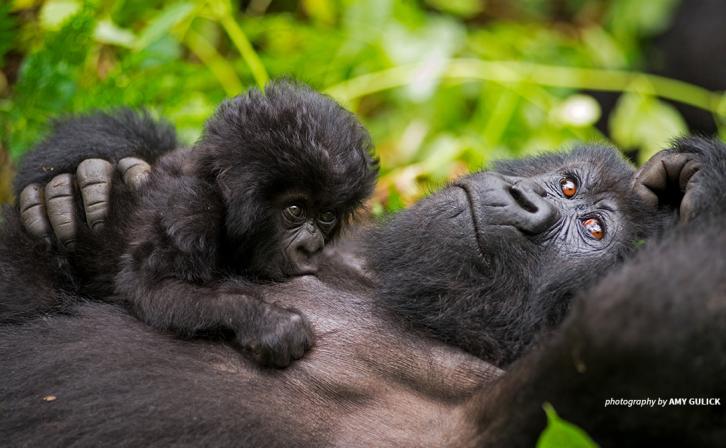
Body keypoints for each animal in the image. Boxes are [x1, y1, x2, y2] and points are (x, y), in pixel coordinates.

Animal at [12, 81, 382, 368]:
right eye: (294, 210)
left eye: (326, 216)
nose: (312, 248)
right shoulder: (190, 209)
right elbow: (156, 287)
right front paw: (268, 322)